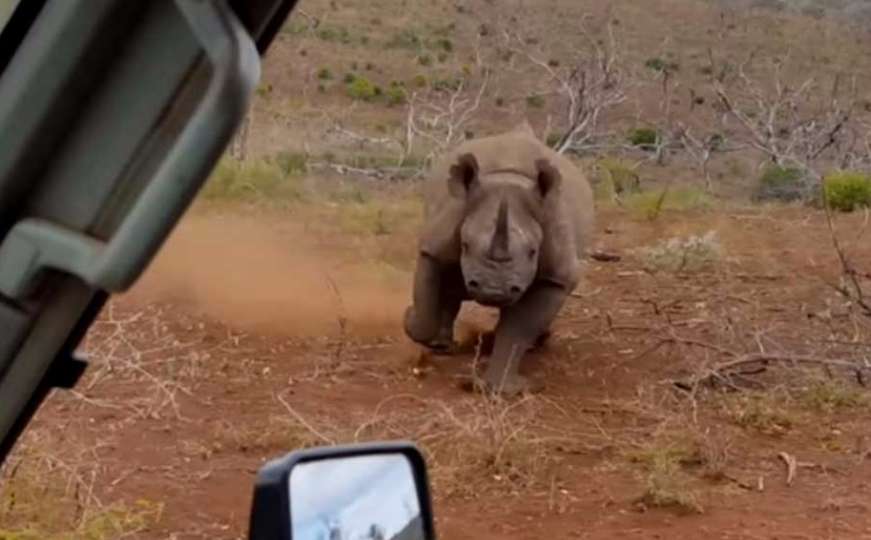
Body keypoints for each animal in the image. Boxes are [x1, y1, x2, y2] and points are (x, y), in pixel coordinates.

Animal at [404, 120, 596, 394]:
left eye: (533, 252)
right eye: (465, 245)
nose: (493, 290)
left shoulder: (557, 276)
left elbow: (518, 328)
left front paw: (501, 390)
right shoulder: (435, 244)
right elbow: (426, 301)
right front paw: (410, 319)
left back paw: (536, 342)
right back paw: (442, 347)